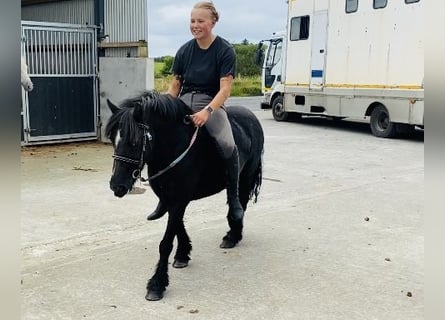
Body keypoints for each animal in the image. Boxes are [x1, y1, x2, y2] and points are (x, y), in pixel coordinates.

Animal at [104, 90, 264, 300]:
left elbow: (165, 243)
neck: (174, 147)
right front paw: (183, 254)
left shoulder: (179, 200)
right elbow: (178, 226)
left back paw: (233, 235)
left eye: (135, 142)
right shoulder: (170, 200)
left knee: (240, 202)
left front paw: (156, 284)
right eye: (112, 140)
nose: (117, 186)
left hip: (245, 177)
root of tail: (251, 116)